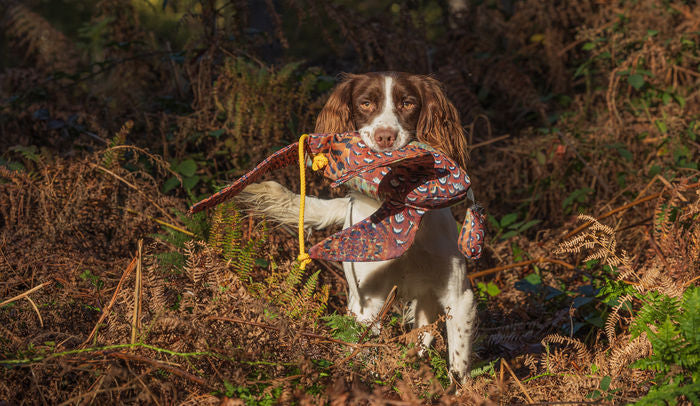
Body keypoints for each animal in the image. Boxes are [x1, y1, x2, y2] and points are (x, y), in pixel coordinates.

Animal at [239, 72, 476, 384]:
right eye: (365, 103)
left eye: (408, 102)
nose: (385, 137)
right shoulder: (367, 303)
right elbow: (364, 356)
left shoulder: (458, 297)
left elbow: (458, 365)